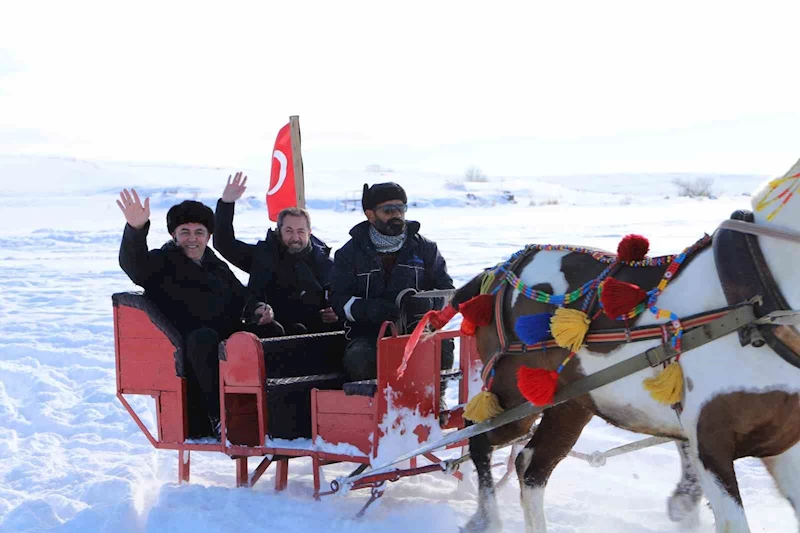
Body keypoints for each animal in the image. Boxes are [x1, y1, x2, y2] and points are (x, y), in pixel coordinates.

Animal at [450, 158, 800, 532]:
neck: (755, 298)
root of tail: (495, 273)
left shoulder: (783, 442)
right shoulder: (711, 441)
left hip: (570, 405)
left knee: (531, 467)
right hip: (512, 397)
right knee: (479, 438)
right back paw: (486, 518)